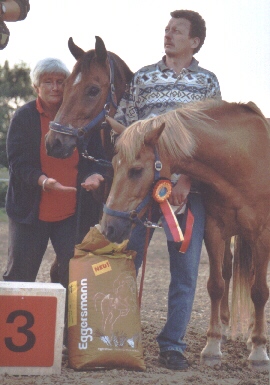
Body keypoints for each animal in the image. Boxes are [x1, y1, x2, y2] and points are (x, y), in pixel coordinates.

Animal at [101, 99, 270, 368]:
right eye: (114, 167)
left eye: (136, 170)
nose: (109, 227)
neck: (244, 161)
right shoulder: (214, 231)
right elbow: (216, 285)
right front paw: (212, 346)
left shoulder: (262, 236)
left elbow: (260, 291)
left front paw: (259, 350)